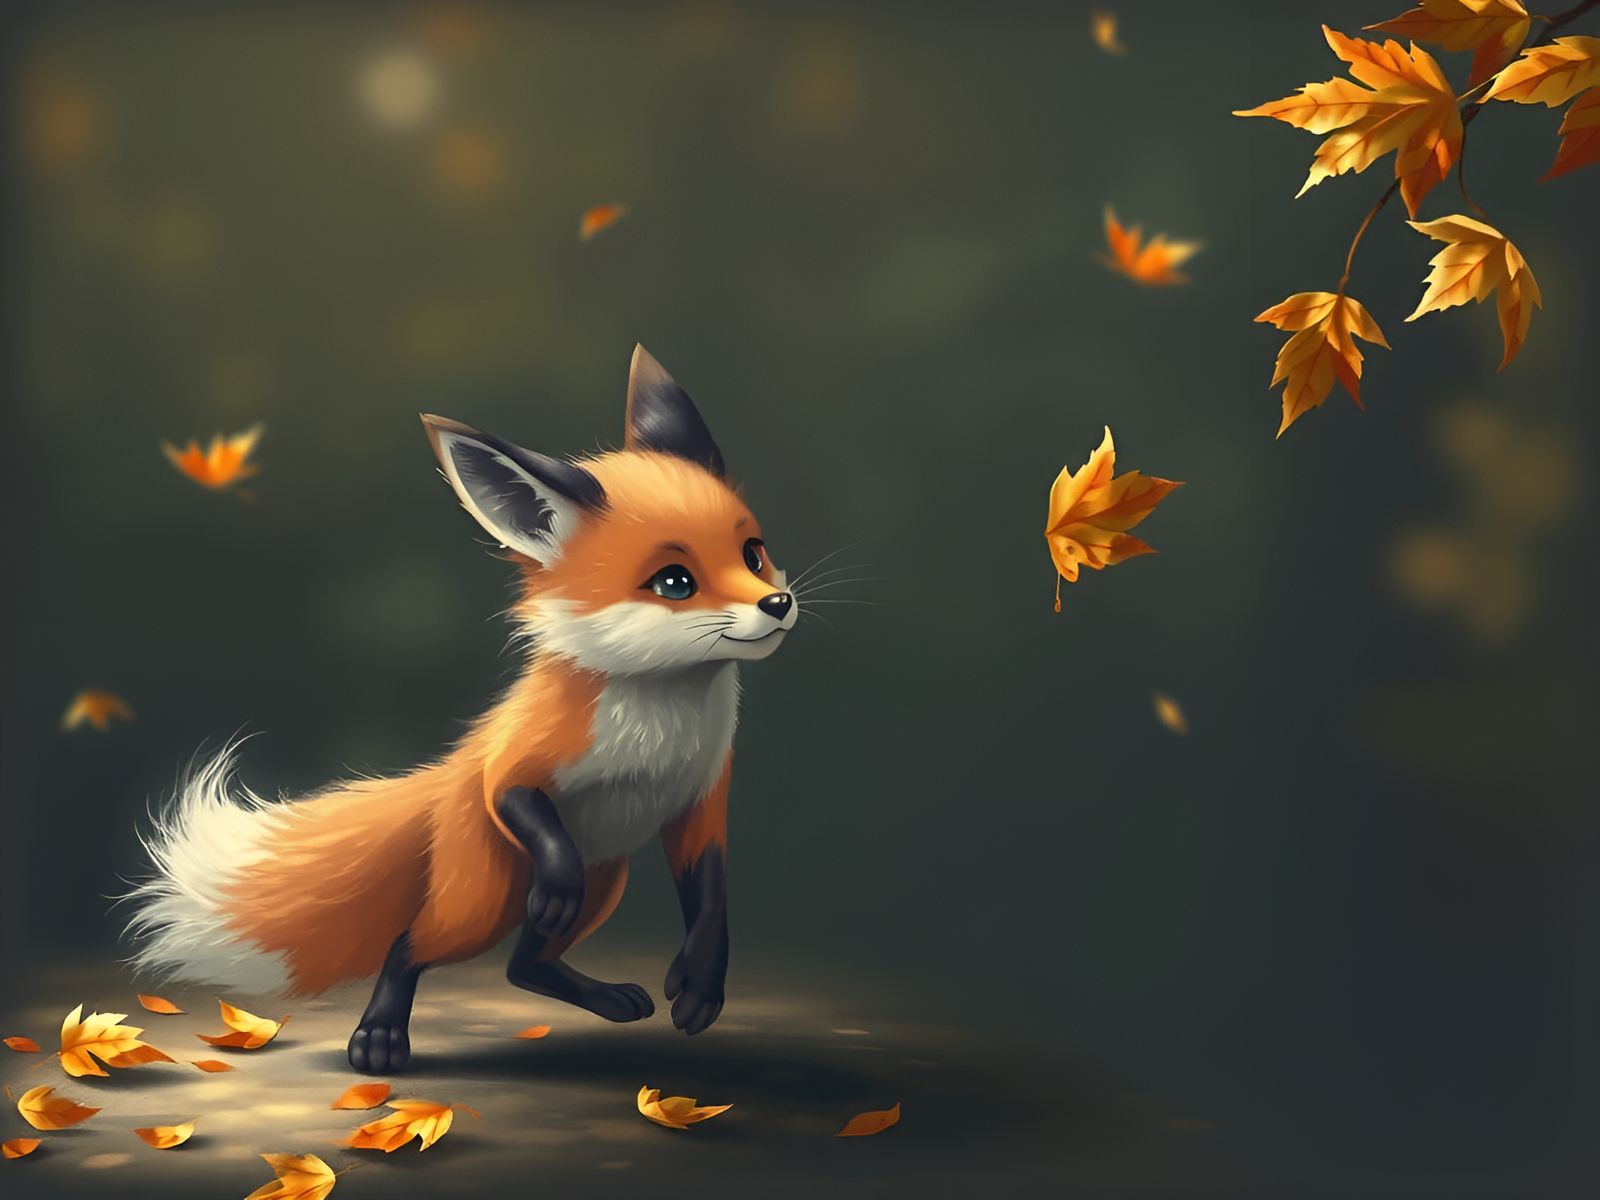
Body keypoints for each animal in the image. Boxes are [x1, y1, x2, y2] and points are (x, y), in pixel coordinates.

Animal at [125, 345, 798, 1074]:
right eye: (675, 582)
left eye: (753, 554)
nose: (778, 604)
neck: (659, 725)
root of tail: (442, 785)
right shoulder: (522, 760)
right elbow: (513, 795)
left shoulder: (699, 800)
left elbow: (710, 899)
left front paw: (701, 983)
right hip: (481, 901)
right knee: (413, 945)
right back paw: (379, 1037)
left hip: (603, 881)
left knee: (524, 964)